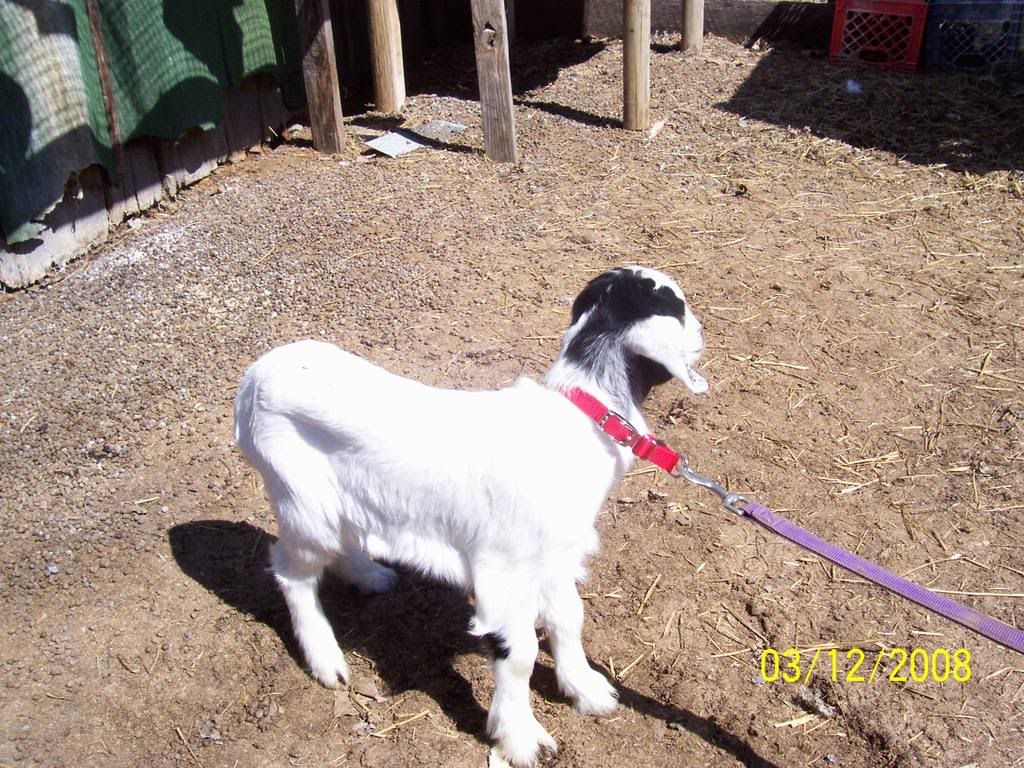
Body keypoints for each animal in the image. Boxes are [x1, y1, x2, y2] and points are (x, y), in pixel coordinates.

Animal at [233, 266, 707, 767]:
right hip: (302, 499)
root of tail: (253, 379)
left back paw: (371, 576)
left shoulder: (554, 559)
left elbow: (568, 618)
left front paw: (586, 690)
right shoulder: (506, 573)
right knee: (292, 572)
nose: (702, 333)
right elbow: (519, 655)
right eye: (677, 308)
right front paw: (519, 738)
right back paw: (327, 660)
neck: (580, 420)